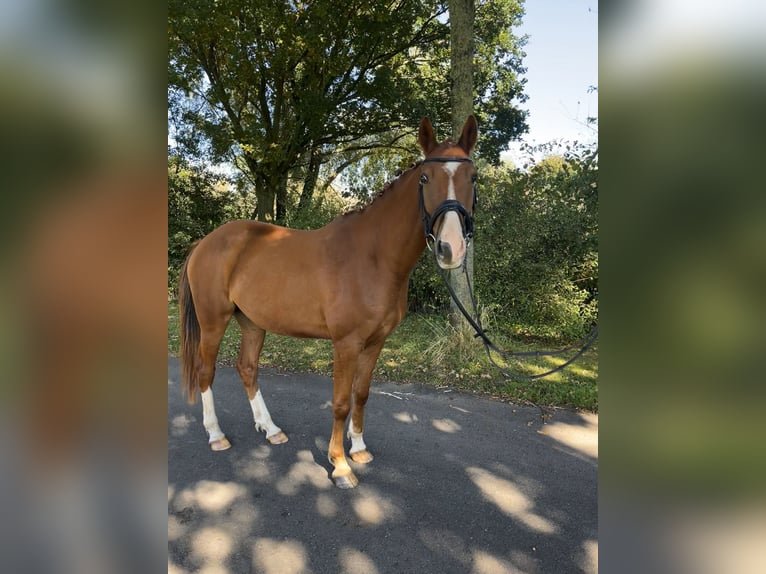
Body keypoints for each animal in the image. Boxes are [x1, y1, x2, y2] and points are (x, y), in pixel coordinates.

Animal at [180, 117, 480, 490]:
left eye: (473, 178)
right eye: (425, 179)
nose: (450, 248)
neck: (373, 257)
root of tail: (205, 243)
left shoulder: (376, 342)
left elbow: (361, 394)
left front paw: (360, 449)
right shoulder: (346, 343)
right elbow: (339, 402)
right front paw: (340, 465)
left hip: (252, 322)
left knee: (247, 368)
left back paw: (271, 429)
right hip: (213, 321)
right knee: (205, 371)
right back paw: (216, 435)